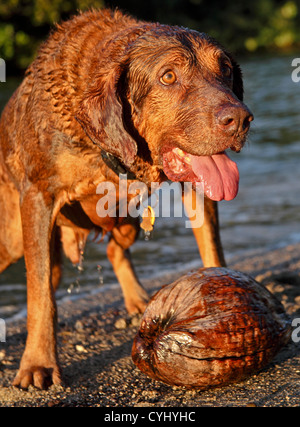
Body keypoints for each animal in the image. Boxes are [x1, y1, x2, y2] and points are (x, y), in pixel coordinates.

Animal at [0, 9, 253, 392]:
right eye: (168, 76)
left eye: (225, 69)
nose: (240, 119)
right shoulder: (38, 197)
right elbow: (40, 294)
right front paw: (38, 363)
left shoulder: (197, 183)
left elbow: (211, 247)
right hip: (13, 237)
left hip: (129, 220)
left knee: (115, 248)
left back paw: (136, 298)